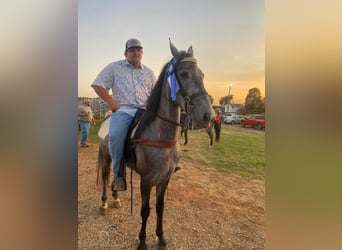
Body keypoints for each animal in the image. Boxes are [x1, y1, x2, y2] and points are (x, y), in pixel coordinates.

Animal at [96, 40, 214, 248]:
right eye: (184, 74)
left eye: (202, 75)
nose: (207, 116)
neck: (160, 137)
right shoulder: (146, 180)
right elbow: (145, 210)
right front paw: (143, 241)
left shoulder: (165, 179)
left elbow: (160, 207)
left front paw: (161, 238)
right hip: (106, 156)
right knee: (104, 176)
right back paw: (104, 203)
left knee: (116, 175)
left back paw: (116, 199)